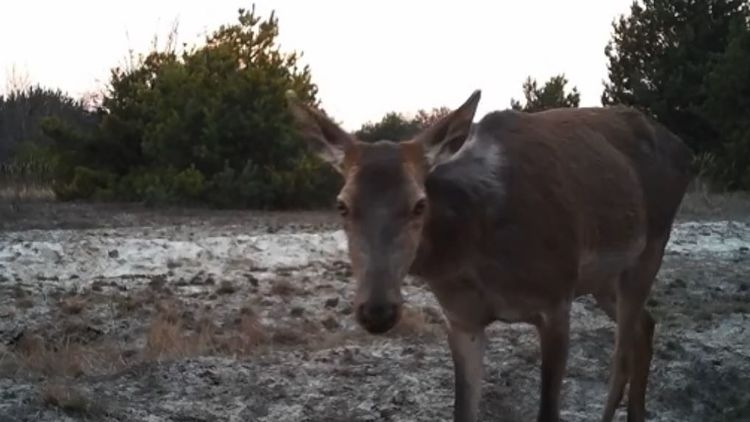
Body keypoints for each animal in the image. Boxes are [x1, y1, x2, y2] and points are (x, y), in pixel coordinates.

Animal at [286, 89, 692, 422]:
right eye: (342, 205)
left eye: (419, 204)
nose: (377, 311)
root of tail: (681, 145)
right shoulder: (461, 317)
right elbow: (462, 411)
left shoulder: (557, 298)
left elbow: (548, 413)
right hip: (602, 279)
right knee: (645, 326)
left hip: (650, 246)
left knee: (620, 356)